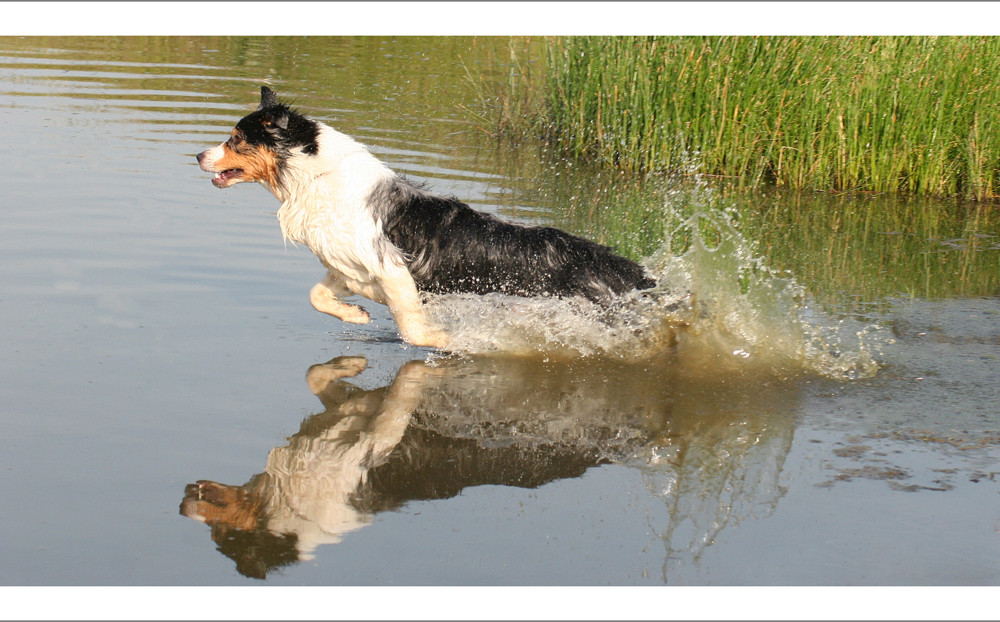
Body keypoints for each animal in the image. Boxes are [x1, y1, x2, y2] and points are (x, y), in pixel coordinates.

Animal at [198, 86, 660, 352]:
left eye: (235, 139)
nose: (198, 155)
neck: (314, 178)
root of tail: (632, 271)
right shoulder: (348, 266)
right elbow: (317, 295)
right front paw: (356, 316)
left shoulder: (392, 269)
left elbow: (411, 329)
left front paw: (448, 340)